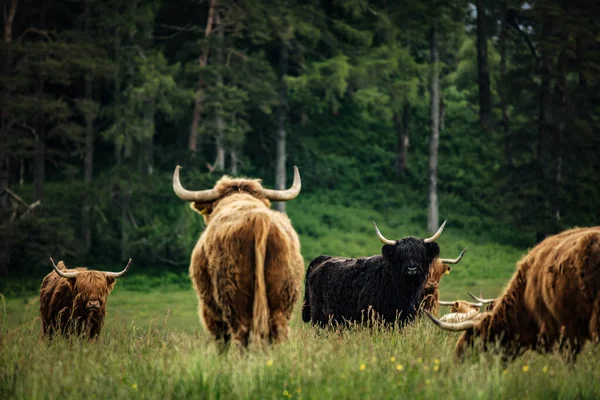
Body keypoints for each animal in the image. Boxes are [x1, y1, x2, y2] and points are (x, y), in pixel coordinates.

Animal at [172, 165, 304, 346]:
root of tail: (258, 217)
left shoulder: (209, 306)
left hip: (232, 296)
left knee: (239, 332)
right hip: (282, 299)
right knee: (278, 331)